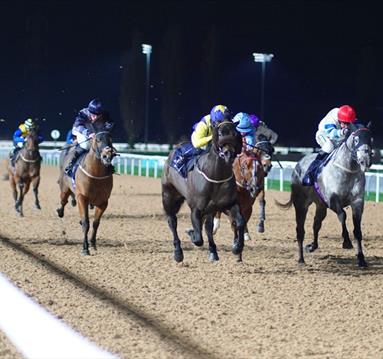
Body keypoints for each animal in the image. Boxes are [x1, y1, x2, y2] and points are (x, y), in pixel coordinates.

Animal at [160, 121, 244, 262]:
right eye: (220, 133)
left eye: (236, 134)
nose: (229, 154)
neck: (216, 177)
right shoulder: (196, 209)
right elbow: (198, 239)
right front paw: (191, 233)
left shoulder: (227, 204)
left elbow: (240, 222)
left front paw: (237, 247)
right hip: (169, 196)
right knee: (172, 221)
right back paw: (178, 252)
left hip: (209, 209)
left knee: (208, 227)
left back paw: (213, 252)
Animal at [278, 124, 374, 268]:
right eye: (356, 140)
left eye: (370, 139)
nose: (365, 161)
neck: (347, 170)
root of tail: (298, 164)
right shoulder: (331, 200)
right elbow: (342, 215)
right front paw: (346, 242)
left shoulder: (357, 202)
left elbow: (357, 231)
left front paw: (361, 259)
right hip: (301, 204)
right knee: (300, 230)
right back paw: (301, 259)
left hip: (320, 205)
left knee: (316, 224)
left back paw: (312, 246)